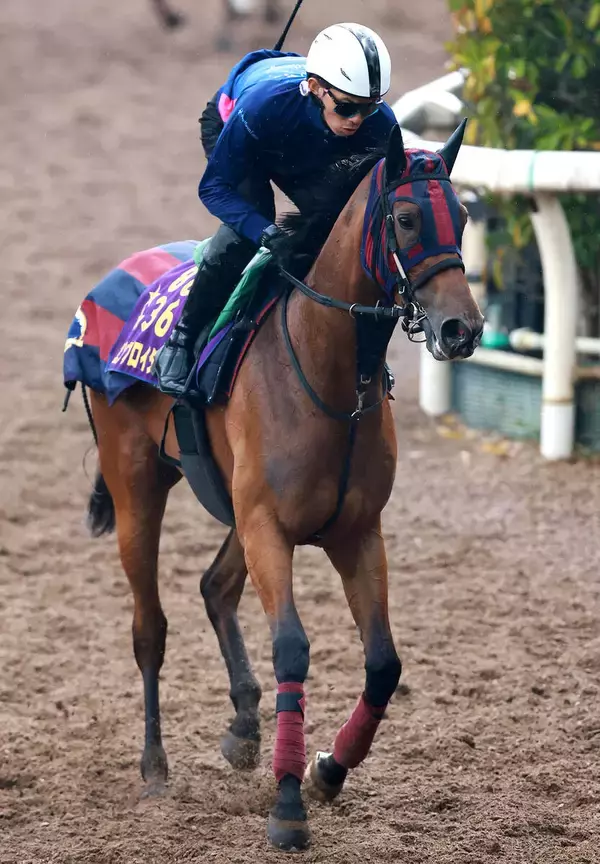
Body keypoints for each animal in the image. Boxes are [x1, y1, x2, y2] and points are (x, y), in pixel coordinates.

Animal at [77, 122, 483, 851]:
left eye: (462, 217)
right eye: (406, 219)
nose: (461, 329)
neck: (327, 371)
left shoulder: (356, 532)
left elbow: (384, 664)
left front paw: (326, 769)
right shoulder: (269, 525)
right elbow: (291, 649)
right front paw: (289, 803)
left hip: (232, 505)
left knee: (214, 587)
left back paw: (242, 726)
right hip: (136, 487)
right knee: (150, 626)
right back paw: (154, 765)